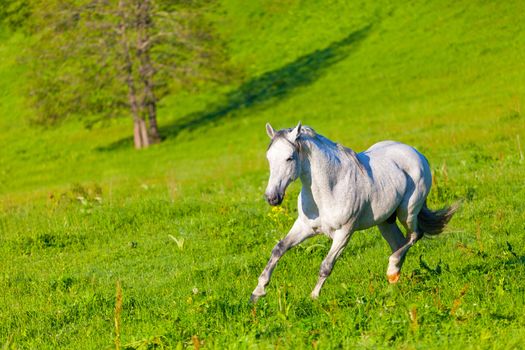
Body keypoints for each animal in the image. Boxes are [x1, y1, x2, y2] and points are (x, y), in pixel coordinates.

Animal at [250, 121, 454, 302]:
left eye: (289, 158)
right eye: (269, 158)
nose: (272, 197)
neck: (330, 187)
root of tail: (416, 153)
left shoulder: (344, 233)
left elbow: (326, 266)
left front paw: (313, 297)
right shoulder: (305, 227)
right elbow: (279, 249)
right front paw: (257, 292)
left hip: (407, 212)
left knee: (415, 235)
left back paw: (391, 268)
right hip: (385, 221)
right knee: (398, 243)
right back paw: (393, 280)